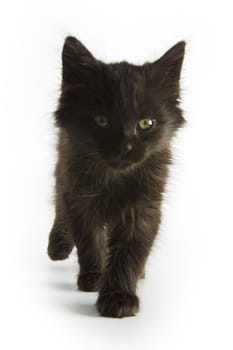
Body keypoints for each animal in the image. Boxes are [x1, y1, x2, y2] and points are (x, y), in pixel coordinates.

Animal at [47, 36, 186, 318]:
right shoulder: (79, 195)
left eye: (146, 123)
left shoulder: (144, 206)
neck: (114, 178)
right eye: (102, 121)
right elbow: (89, 238)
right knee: (58, 201)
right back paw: (58, 246)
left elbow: (130, 251)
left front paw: (119, 295)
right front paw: (94, 275)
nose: (126, 148)